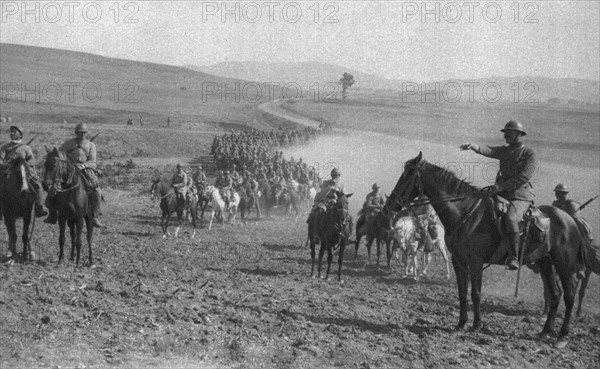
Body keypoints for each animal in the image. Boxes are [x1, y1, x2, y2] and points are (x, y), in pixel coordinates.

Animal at [386, 152, 588, 344]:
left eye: (409, 174)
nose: (391, 204)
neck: (465, 213)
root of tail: (571, 220)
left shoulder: (476, 261)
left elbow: (475, 293)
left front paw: (476, 325)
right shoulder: (458, 261)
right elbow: (462, 293)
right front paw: (461, 324)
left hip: (564, 265)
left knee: (569, 295)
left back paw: (562, 335)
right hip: (545, 261)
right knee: (555, 294)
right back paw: (544, 331)